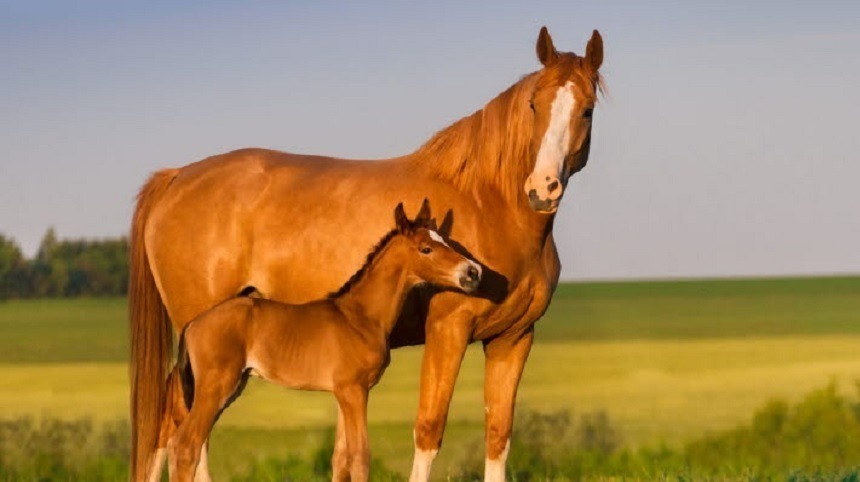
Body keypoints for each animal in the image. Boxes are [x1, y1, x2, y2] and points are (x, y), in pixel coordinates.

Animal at [151, 202, 480, 482]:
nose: (472, 272)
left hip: (228, 388)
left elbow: (343, 457)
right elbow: (360, 456)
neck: (360, 316)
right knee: (184, 445)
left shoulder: (348, 393)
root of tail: (193, 324)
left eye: (446, 241)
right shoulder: (353, 390)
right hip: (216, 386)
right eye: (426, 248)